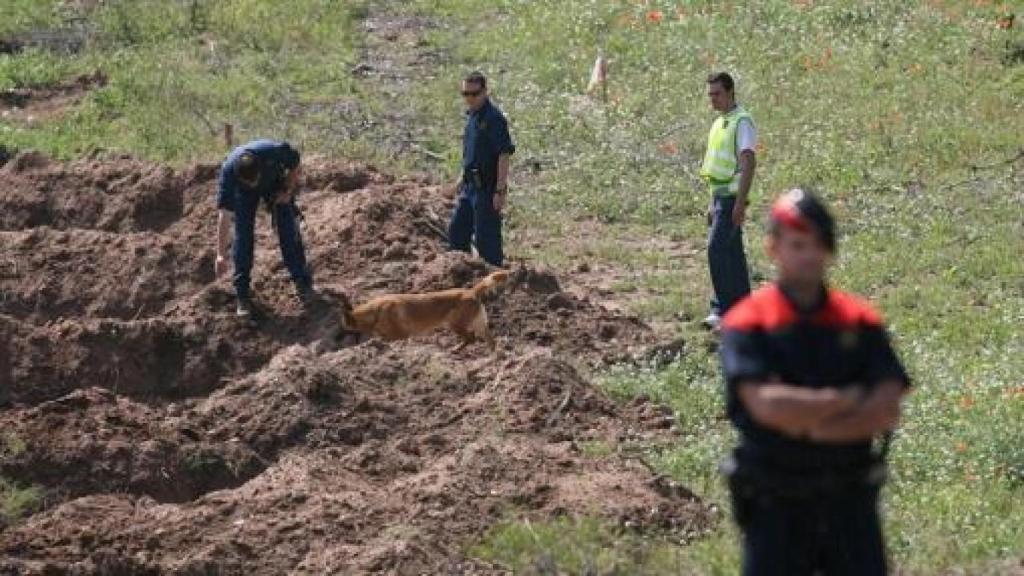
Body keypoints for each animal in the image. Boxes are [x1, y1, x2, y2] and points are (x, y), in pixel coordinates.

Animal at [337, 270, 509, 350]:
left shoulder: (399, 336)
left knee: (471, 338)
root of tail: (471, 291)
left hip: (455, 324)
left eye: (344, 328)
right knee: (491, 342)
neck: (375, 312)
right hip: (479, 325)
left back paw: (455, 349)